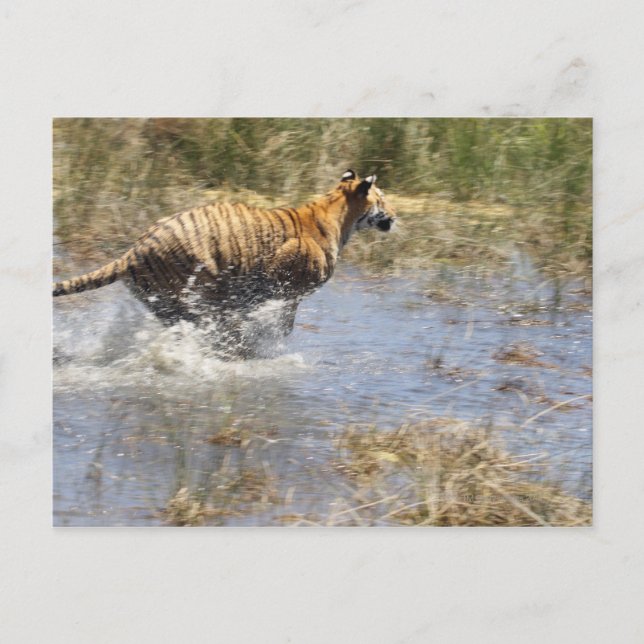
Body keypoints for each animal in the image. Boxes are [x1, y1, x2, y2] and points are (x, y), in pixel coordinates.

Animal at [53, 170, 396, 355]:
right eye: (383, 199)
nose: (394, 216)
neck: (338, 211)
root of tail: (134, 250)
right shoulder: (283, 285)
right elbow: (279, 322)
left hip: (165, 303)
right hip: (200, 290)